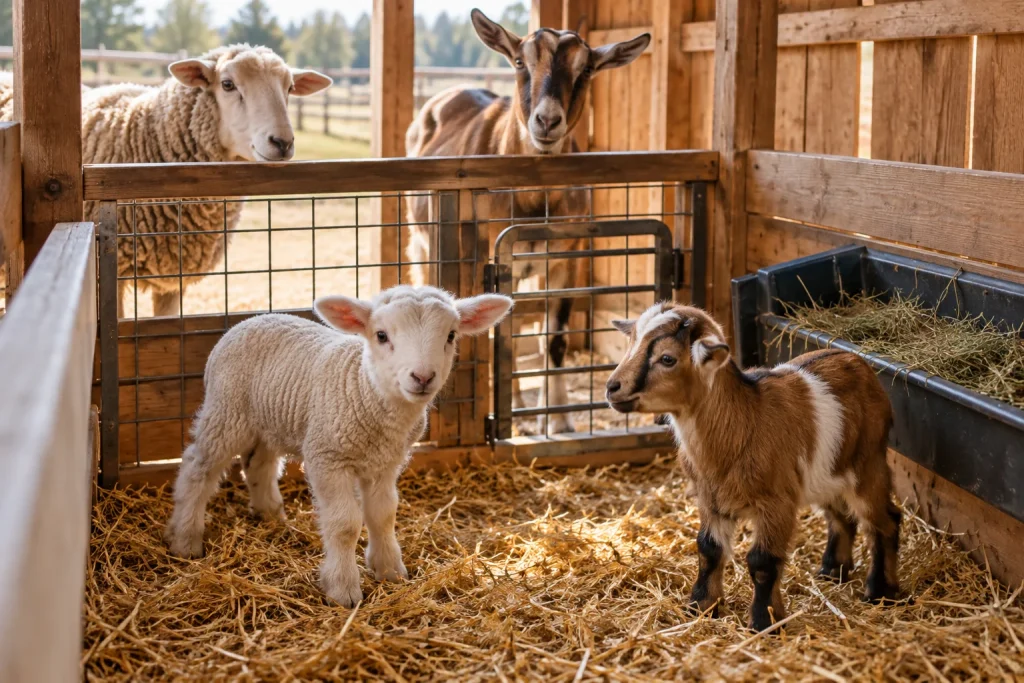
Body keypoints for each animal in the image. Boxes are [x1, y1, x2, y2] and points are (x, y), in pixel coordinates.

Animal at [0, 46, 332, 318]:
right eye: (227, 84)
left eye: (290, 87)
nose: (282, 142)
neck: (144, 136)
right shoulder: (109, 275)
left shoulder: (174, 277)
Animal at [164, 285, 513, 606]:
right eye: (381, 335)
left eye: (451, 335)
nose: (423, 377)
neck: (365, 387)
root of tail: (254, 318)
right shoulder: (327, 456)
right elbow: (345, 525)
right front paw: (343, 589)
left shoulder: (386, 463)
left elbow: (383, 514)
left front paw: (389, 570)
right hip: (227, 411)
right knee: (198, 466)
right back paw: (185, 539)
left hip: (271, 421)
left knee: (259, 464)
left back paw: (270, 515)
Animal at [404, 9, 649, 433]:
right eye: (520, 61)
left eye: (587, 69)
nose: (547, 121)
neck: (534, 199)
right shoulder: (495, 259)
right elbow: (500, 332)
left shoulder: (564, 259)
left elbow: (552, 339)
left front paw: (559, 422)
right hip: (421, 241)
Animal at [605, 303, 901, 631]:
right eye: (631, 346)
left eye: (667, 358)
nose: (612, 388)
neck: (743, 419)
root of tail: (856, 360)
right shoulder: (710, 498)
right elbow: (708, 548)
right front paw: (701, 606)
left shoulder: (776, 503)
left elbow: (762, 562)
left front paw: (764, 622)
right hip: (828, 472)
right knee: (841, 517)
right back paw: (831, 572)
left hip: (868, 465)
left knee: (884, 521)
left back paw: (880, 593)